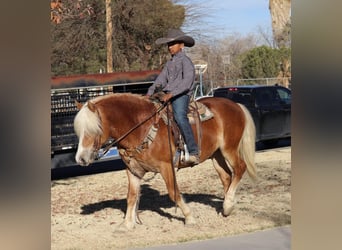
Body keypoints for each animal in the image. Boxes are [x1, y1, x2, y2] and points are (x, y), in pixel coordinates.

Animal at [75, 93, 256, 229]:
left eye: (95, 129)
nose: (81, 158)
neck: (141, 128)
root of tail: (236, 105)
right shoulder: (132, 170)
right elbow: (131, 196)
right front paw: (127, 224)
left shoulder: (166, 166)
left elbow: (173, 193)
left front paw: (189, 218)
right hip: (216, 155)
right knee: (226, 177)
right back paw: (228, 207)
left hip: (229, 149)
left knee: (240, 168)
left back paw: (228, 203)